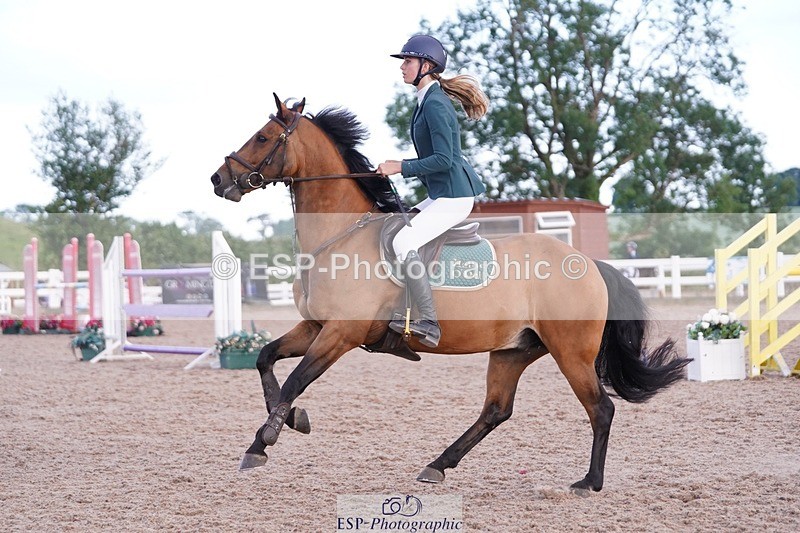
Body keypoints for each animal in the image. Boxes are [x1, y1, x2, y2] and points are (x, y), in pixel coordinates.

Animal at [210, 93, 689, 492]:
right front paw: (284, 424)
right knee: (496, 410)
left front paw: (267, 437)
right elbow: (265, 359)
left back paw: (589, 482)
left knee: (600, 409)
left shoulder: (341, 333)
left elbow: (294, 380)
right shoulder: (315, 325)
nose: (218, 179)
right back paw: (437, 465)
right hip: (514, 349)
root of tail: (589, 263)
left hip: (570, 352)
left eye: (263, 137)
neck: (340, 235)